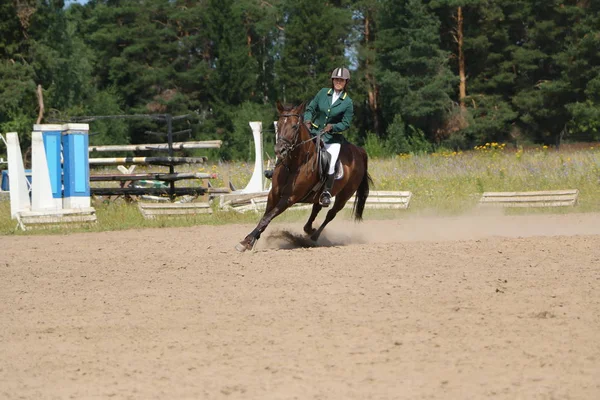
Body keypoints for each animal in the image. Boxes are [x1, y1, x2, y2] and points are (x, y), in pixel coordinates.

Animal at [234, 101, 370, 252]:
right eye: (278, 125)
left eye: (294, 126)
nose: (280, 150)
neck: (293, 165)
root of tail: (359, 150)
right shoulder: (273, 194)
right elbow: (265, 216)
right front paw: (249, 240)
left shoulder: (289, 198)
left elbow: (267, 217)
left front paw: (247, 242)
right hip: (320, 194)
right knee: (316, 208)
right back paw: (309, 230)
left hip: (345, 195)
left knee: (331, 214)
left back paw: (313, 237)